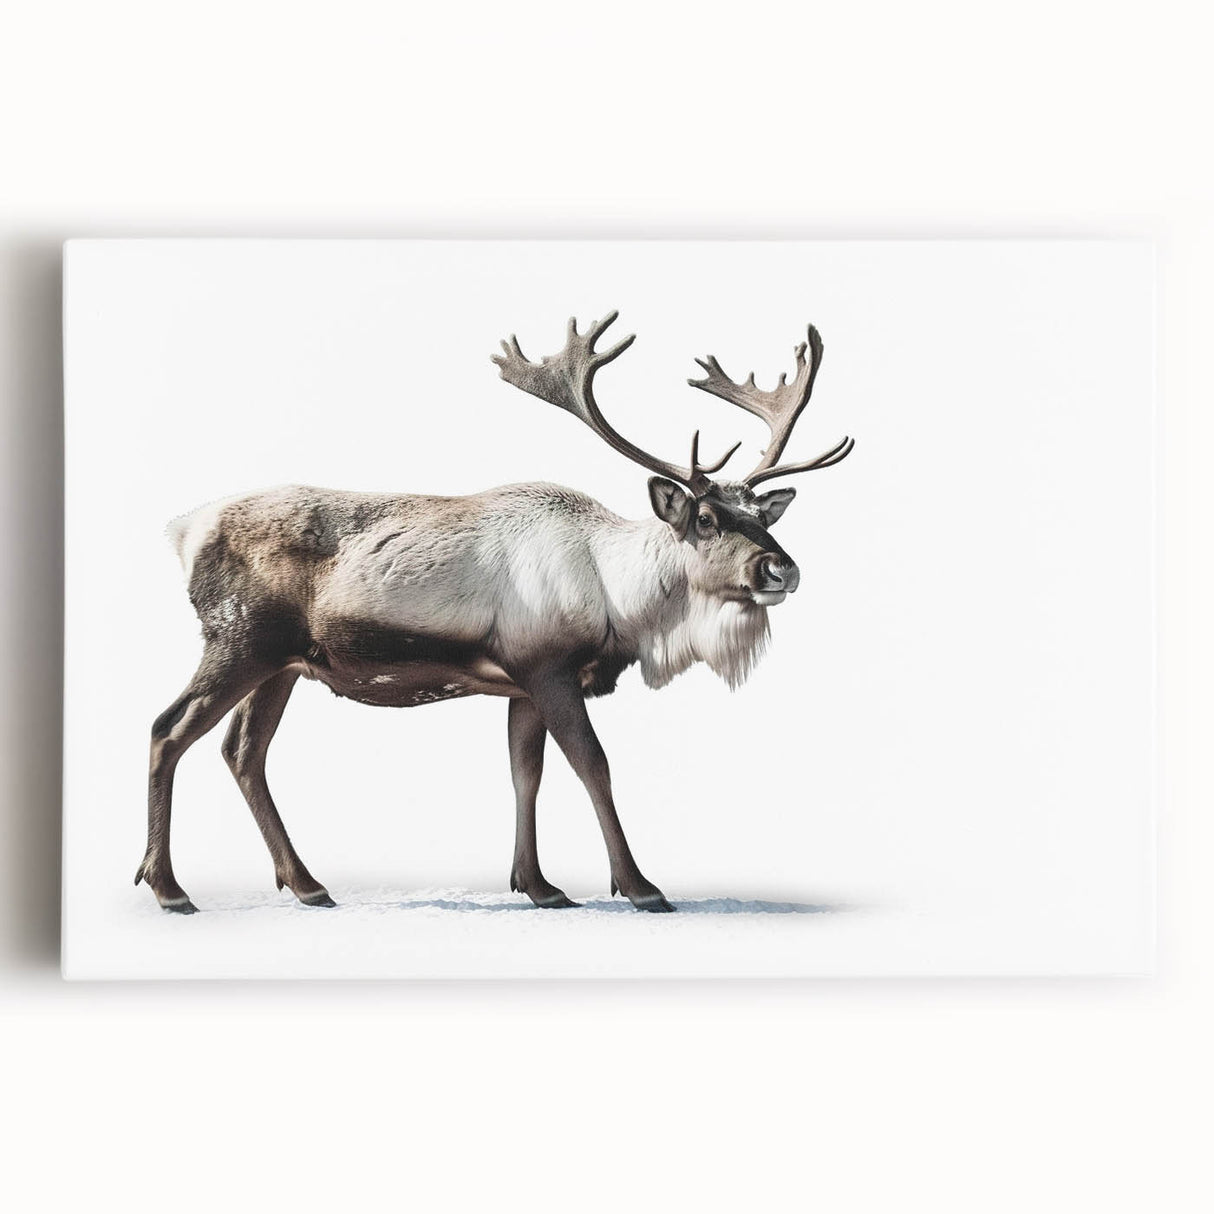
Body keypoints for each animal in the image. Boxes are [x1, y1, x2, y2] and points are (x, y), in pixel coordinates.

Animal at [138, 312, 854, 915]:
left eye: (763, 517)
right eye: (705, 518)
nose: (781, 569)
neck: (618, 600)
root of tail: (182, 530)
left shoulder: (521, 684)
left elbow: (524, 773)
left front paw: (539, 886)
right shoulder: (549, 668)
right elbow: (593, 766)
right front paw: (640, 887)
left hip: (284, 664)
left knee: (243, 750)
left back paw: (309, 885)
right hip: (239, 640)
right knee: (169, 729)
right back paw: (170, 889)